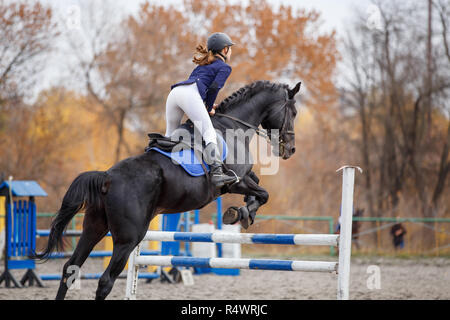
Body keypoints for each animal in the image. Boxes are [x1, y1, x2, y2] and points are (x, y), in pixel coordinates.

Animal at [35, 79, 300, 298]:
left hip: (95, 226)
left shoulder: (244, 179)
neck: (231, 128)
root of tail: (107, 177)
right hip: (128, 238)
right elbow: (264, 194)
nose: (290, 150)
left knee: (70, 269)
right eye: (294, 112)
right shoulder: (235, 181)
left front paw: (243, 211)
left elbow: (259, 189)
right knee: (105, 281)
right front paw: (241, 213)